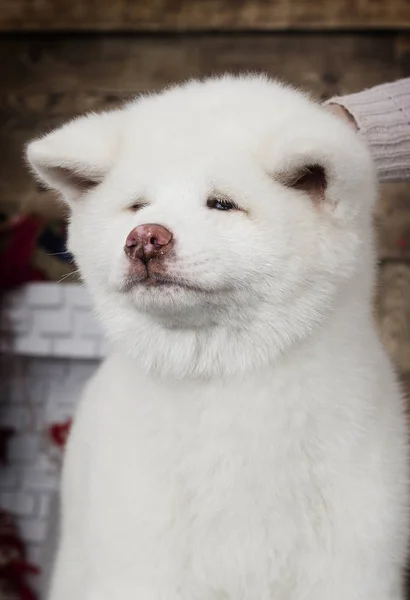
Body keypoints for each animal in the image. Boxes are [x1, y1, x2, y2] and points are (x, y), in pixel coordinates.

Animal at [27, 76, 408, 600]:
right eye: (137, 206)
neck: (222, 375)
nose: (144, 238)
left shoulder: (349, 566)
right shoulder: (142, 563)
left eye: (222, 204)